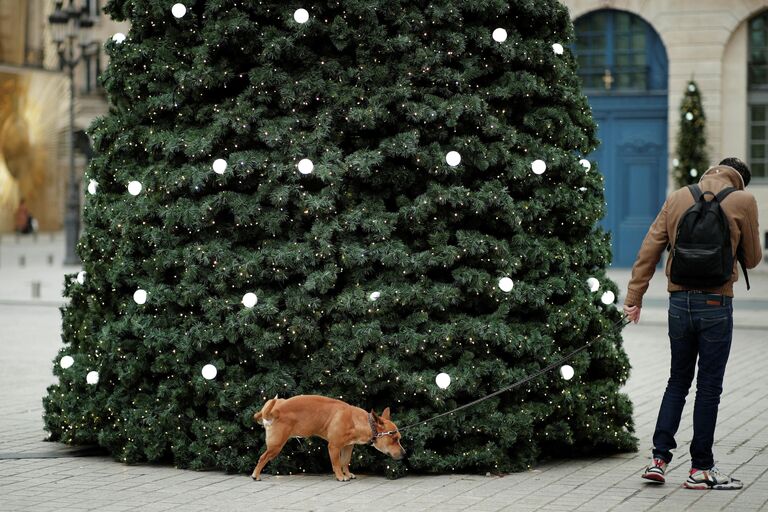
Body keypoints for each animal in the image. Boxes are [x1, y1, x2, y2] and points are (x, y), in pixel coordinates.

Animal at [252, 396, 408, 480]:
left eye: (399, 438)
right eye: (394, 439)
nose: (405, 453)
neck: (358, 421)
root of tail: (274, 410)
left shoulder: (348, 446)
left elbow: (345, 461)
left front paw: (347, 473)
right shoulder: (334, 447)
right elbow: (336, 463)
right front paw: (340, 476)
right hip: (276, 446)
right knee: (262, 458)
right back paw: (255, 475)